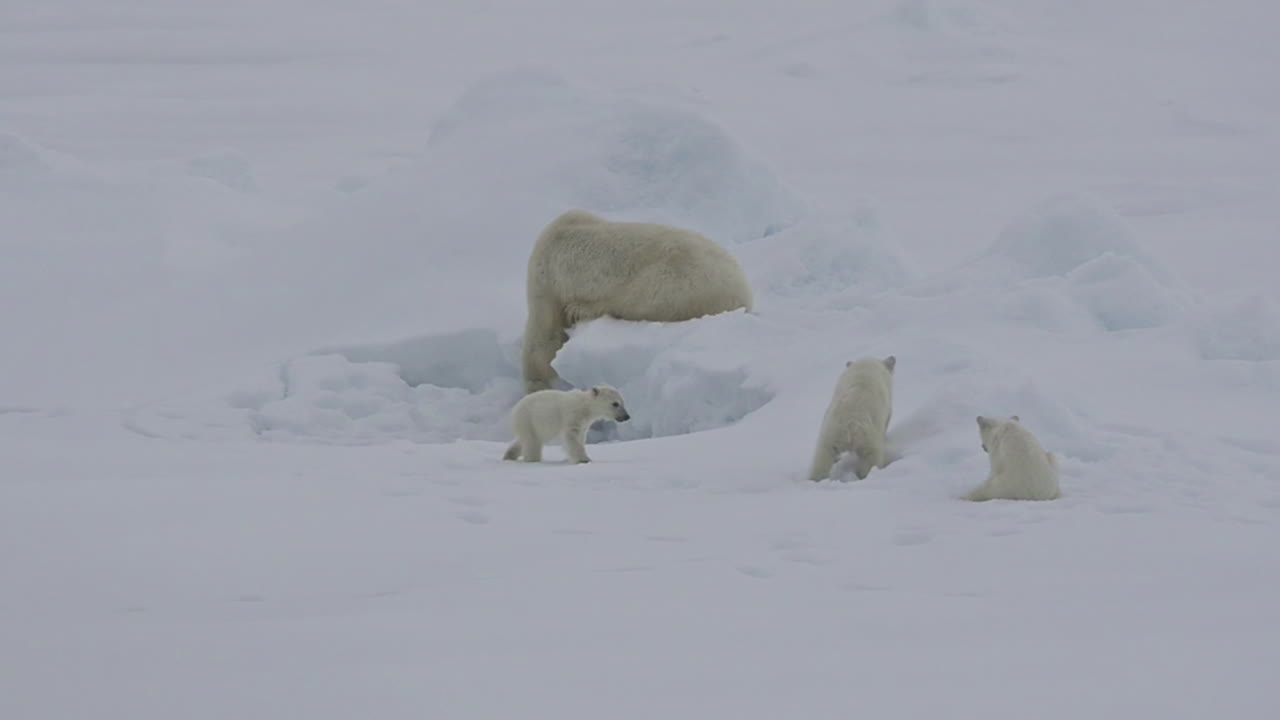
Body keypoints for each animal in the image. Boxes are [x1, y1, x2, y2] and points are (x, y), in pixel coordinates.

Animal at [502, 384, 631, 464]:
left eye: (623, 402)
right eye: (615, 403)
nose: (627, 417)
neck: (585, 407)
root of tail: (515, 408)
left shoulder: (584, 424)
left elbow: (581, 437)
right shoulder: (572, 415)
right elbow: (572, 436)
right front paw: (583, 460)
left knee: (523, 440)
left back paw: (509, 455)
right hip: (529, 419)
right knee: (532, 442)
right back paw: (532, 459)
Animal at [520, 209, 754, 394]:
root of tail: (744, 294)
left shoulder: (545, 278)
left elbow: (542, 336)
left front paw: (536, 387)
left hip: (679, 281)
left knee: (639, 297)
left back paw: (582, 308)